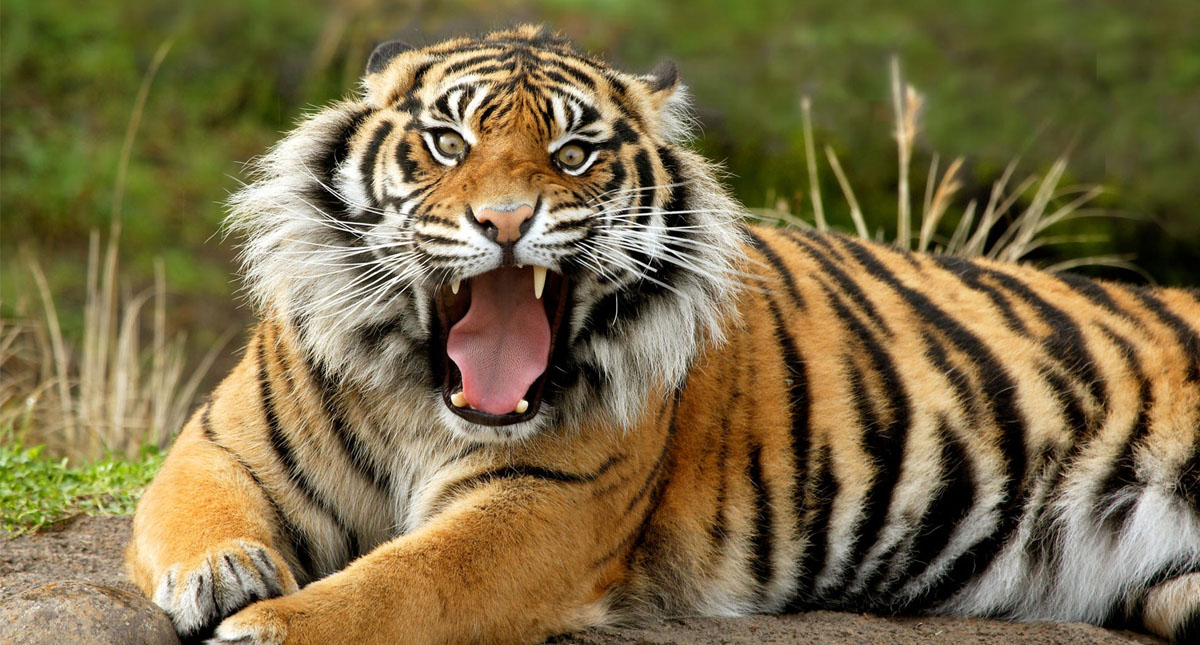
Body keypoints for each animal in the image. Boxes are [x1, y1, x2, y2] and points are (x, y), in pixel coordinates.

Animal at [125, 25, 1200, 645]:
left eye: (572, 153)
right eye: (449, 142)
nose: (505, 221)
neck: (422, 395)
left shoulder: (541, 507)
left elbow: (398, 584)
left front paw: (269, 626)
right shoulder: (221, 444)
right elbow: (195, 510)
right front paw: (225, 573)